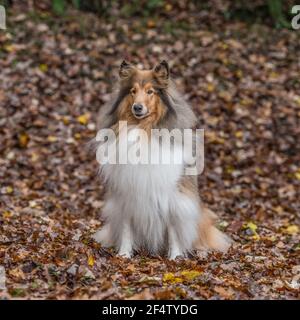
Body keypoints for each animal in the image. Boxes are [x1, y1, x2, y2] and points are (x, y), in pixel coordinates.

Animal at [92, 60, 231, 260]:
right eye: (133, 91)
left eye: (151, 91)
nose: (137, 108)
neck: (144, 130)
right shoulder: (126, 194)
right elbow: (126, 227)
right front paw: (124, 254)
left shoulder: (172, 196)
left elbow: (173, 227)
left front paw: (175, 257)